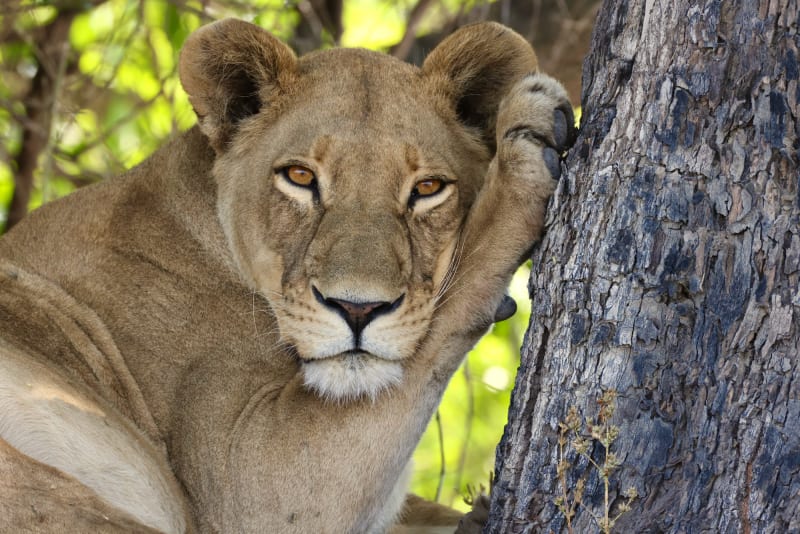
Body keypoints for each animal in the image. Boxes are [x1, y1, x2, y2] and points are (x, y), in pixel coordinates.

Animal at [0, 18, 574, 533]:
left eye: (428, 188)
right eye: (300, 177)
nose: (358, 309)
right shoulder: (249, 477)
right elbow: (453, 298)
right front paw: (526, 144)